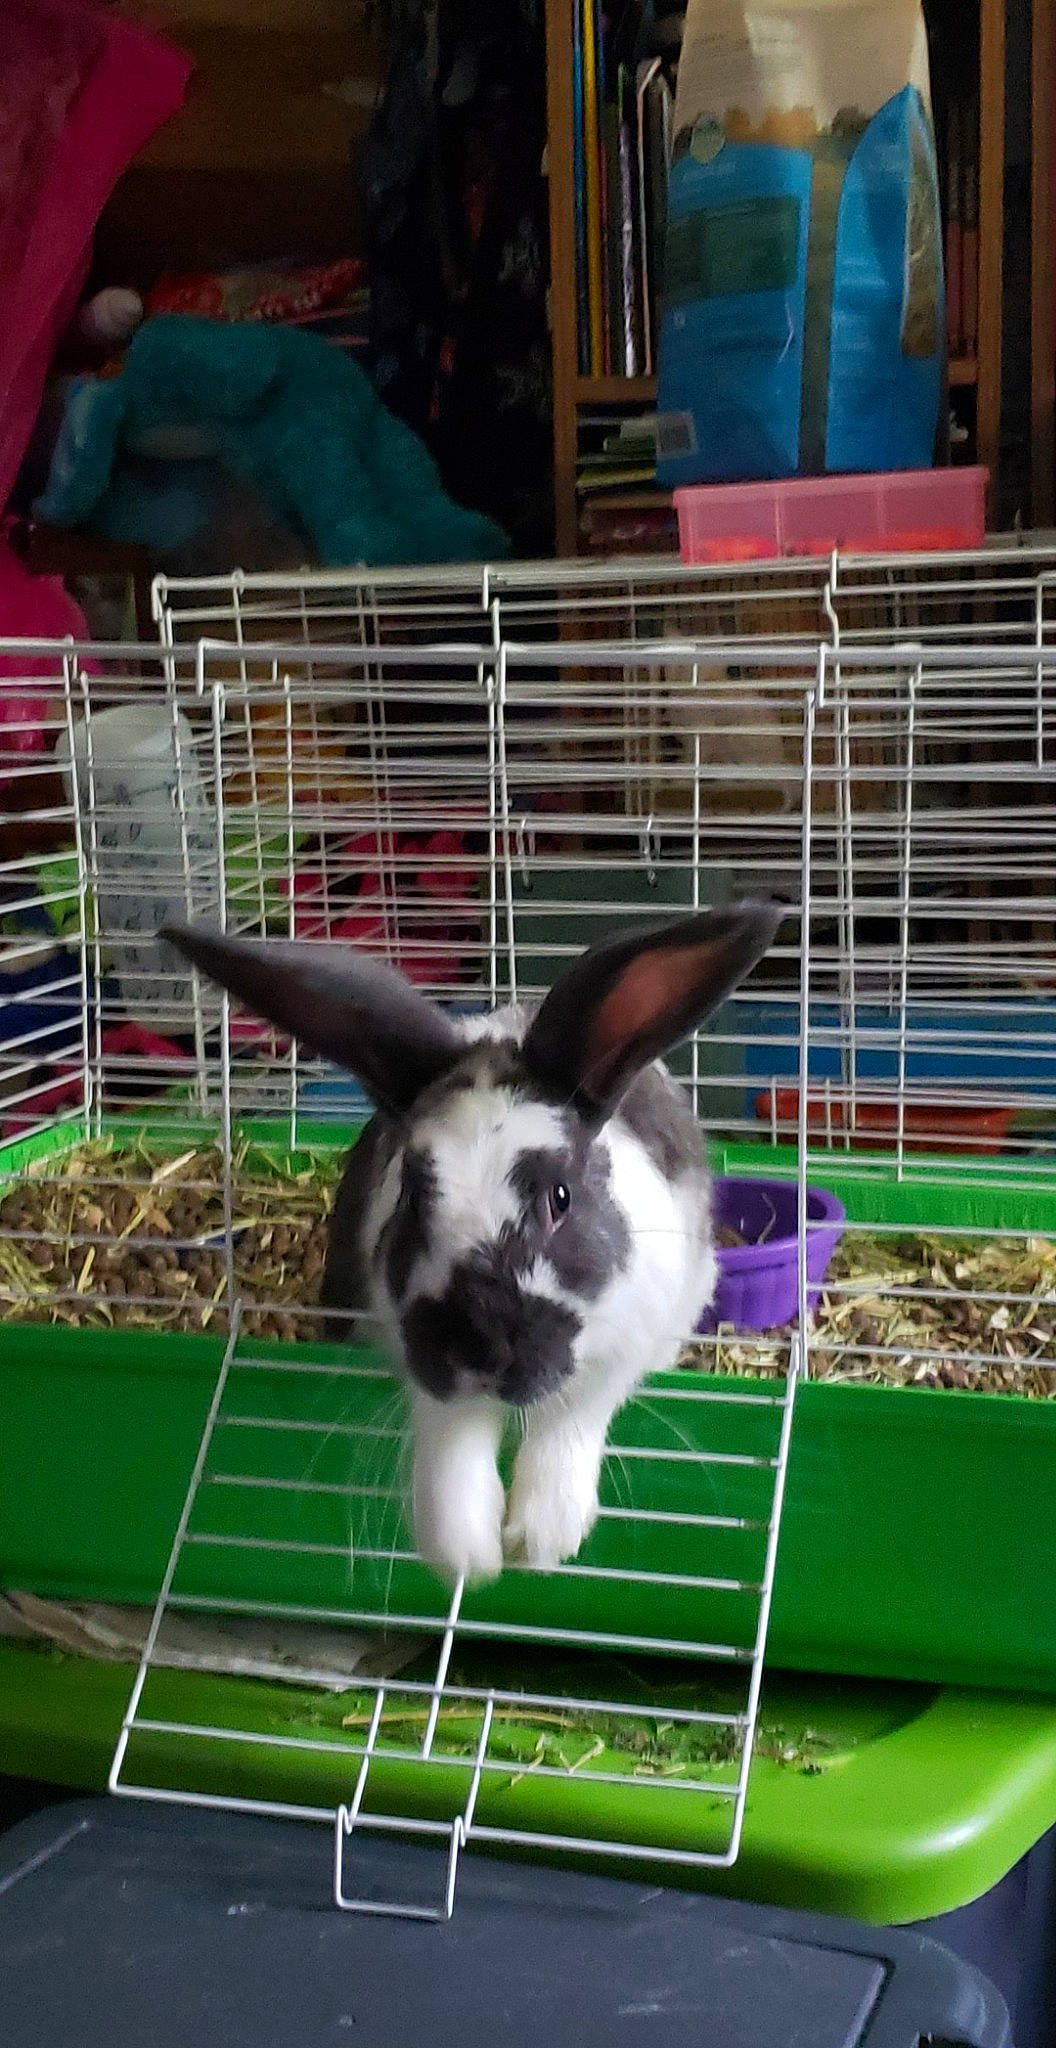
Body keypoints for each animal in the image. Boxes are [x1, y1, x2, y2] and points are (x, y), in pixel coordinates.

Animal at [161, 900, 783, 1586]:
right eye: (411, 1195)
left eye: (560, 1197)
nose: (477, 1346)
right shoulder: (417, 1358)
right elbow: (451, 1436)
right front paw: (466, 1553)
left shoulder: (629, 1340)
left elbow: (573, 1416)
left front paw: (542, 1541)